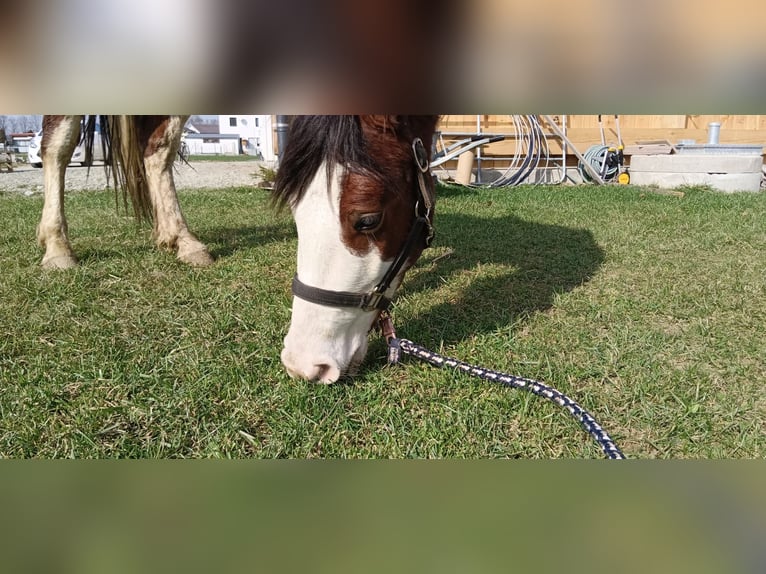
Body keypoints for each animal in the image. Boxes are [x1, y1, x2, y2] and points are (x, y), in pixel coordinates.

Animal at [37, 114, 439, 383]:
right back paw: (57, 246)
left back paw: (178, 238)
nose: (304, 365)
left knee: (158, 147)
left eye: (368, 220)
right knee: (58, 141)